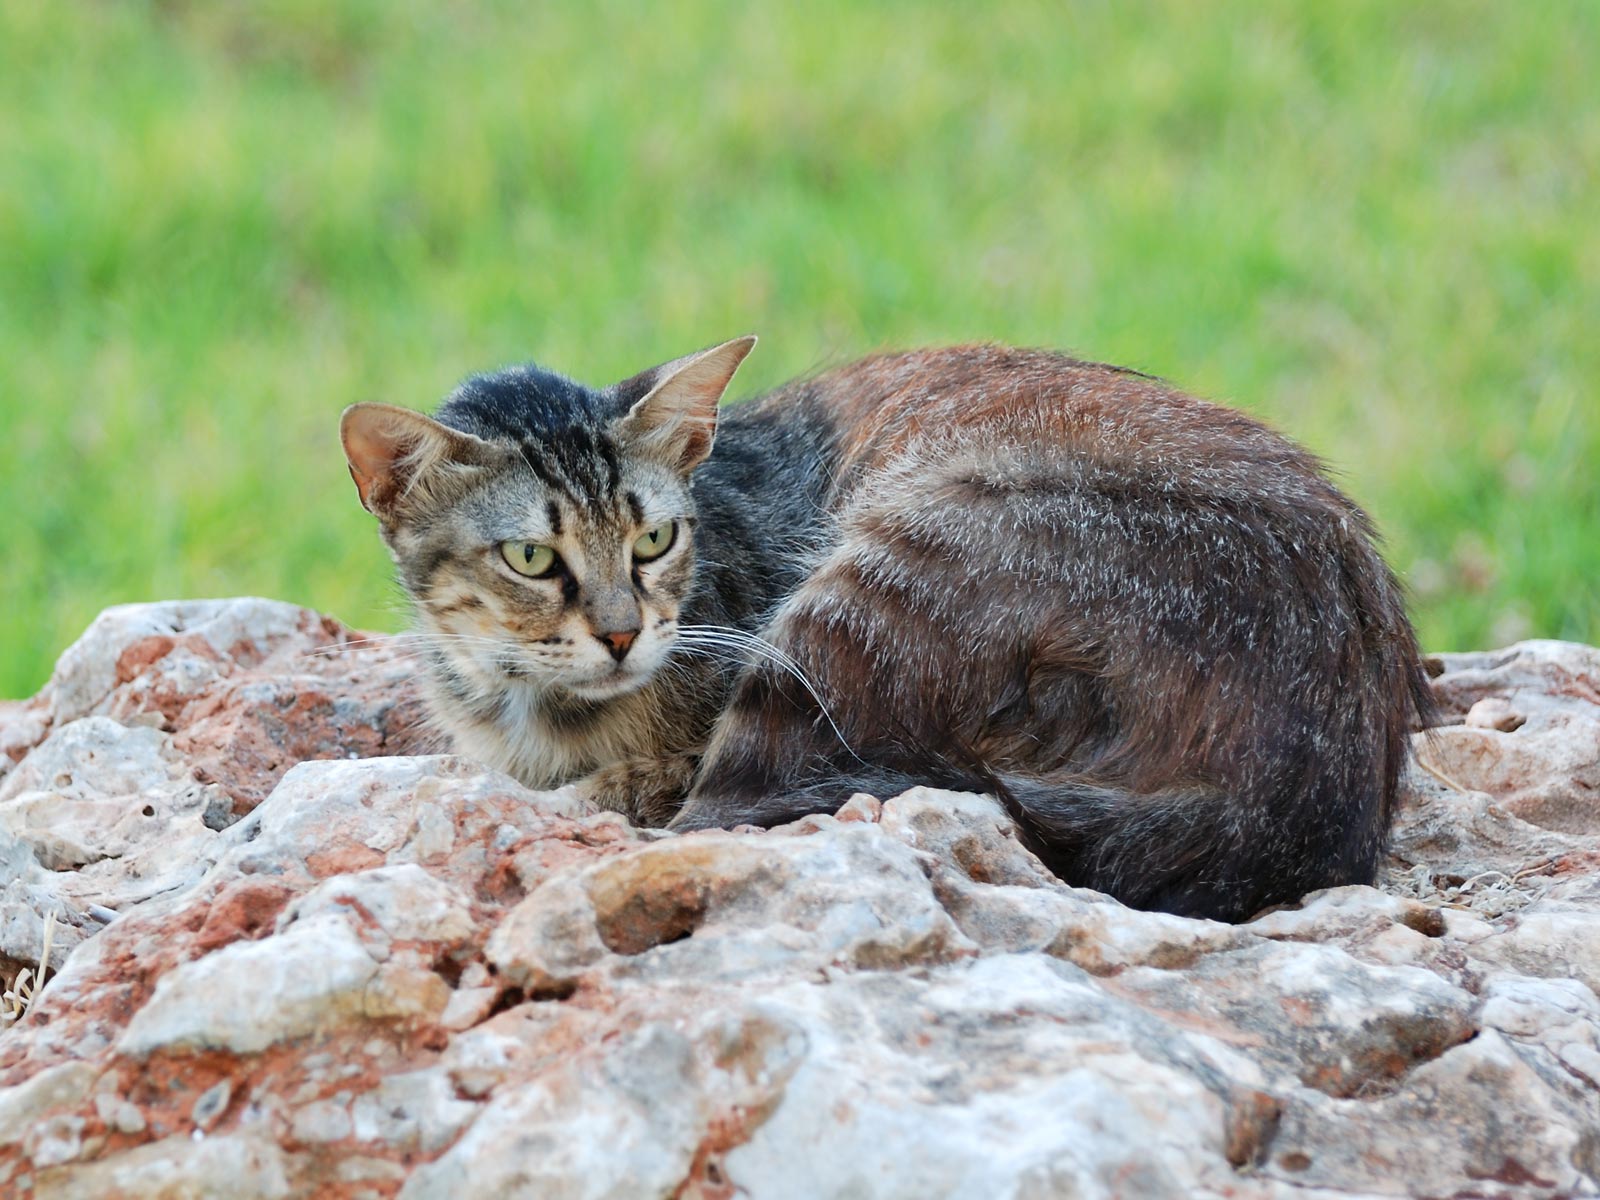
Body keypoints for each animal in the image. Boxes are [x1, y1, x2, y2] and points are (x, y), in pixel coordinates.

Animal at [340, 342, 1440, 928]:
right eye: (532, 558)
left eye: (654, 538)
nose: (620, 633)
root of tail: (1313, 799)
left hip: (872, 587)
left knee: (718, 818)